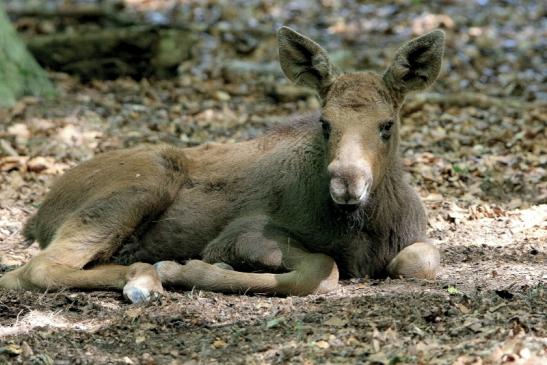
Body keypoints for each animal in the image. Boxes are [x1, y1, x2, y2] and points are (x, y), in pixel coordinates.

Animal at [0, 27, 446, 302]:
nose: (347, 183)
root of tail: (36, 218)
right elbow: (320, 268)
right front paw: (187, 269)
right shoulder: (242, 232)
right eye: (324, 122)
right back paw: (145, 277)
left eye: (387, 124)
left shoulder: (414, 241)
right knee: (33, 269)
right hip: (145, 181)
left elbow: (421, 260)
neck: (364, 228)